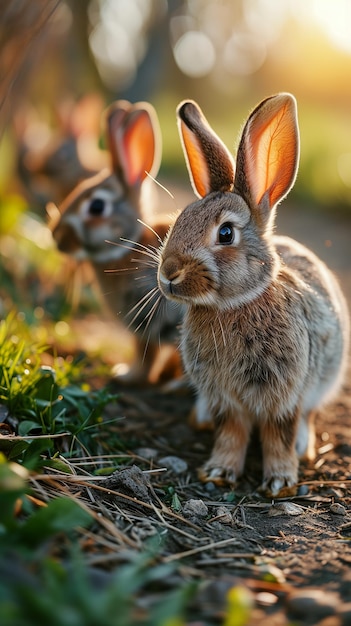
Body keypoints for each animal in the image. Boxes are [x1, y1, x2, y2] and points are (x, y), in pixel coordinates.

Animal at [52, 100, 184, 382]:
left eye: (97, 206)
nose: (56, 237)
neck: (128, 246)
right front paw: (128, 374)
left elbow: (150, 357)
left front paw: (128, 377)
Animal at [158, 92, 350, 494]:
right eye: (179, 221)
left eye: (225, 233)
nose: (168, 273)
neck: (234, 305)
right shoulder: (224, 399)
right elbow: (230, 434)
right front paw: (218, 472)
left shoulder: (283, 396)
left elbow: (279, 435)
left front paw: (280, 482)